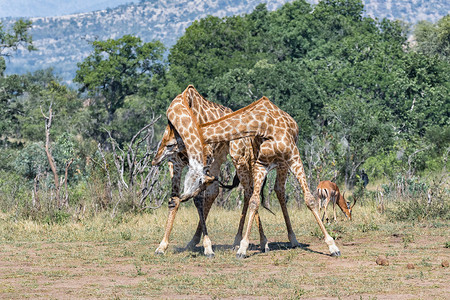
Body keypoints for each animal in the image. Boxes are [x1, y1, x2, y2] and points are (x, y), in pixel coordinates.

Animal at [153, 85, 300, 256]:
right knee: (228, 193)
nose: (155, 159)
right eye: (165, 143)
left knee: (254, 191)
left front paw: (208, 248)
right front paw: (162, 246)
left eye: (170, 145)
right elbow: (174, 200)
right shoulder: (176, 164)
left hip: (241, 159)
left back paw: (264, 242)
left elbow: (197, 199)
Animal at [171, 95, 340, 256]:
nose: (182, 197)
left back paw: (293, 239)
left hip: (280, 164)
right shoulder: (259, 164)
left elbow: (310, 200)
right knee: (253, 192)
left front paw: (332, 246)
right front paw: (243, 248)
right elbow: (254, 201)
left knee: (278, 190)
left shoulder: (294, 157)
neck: (265, 127)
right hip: (252, 164)